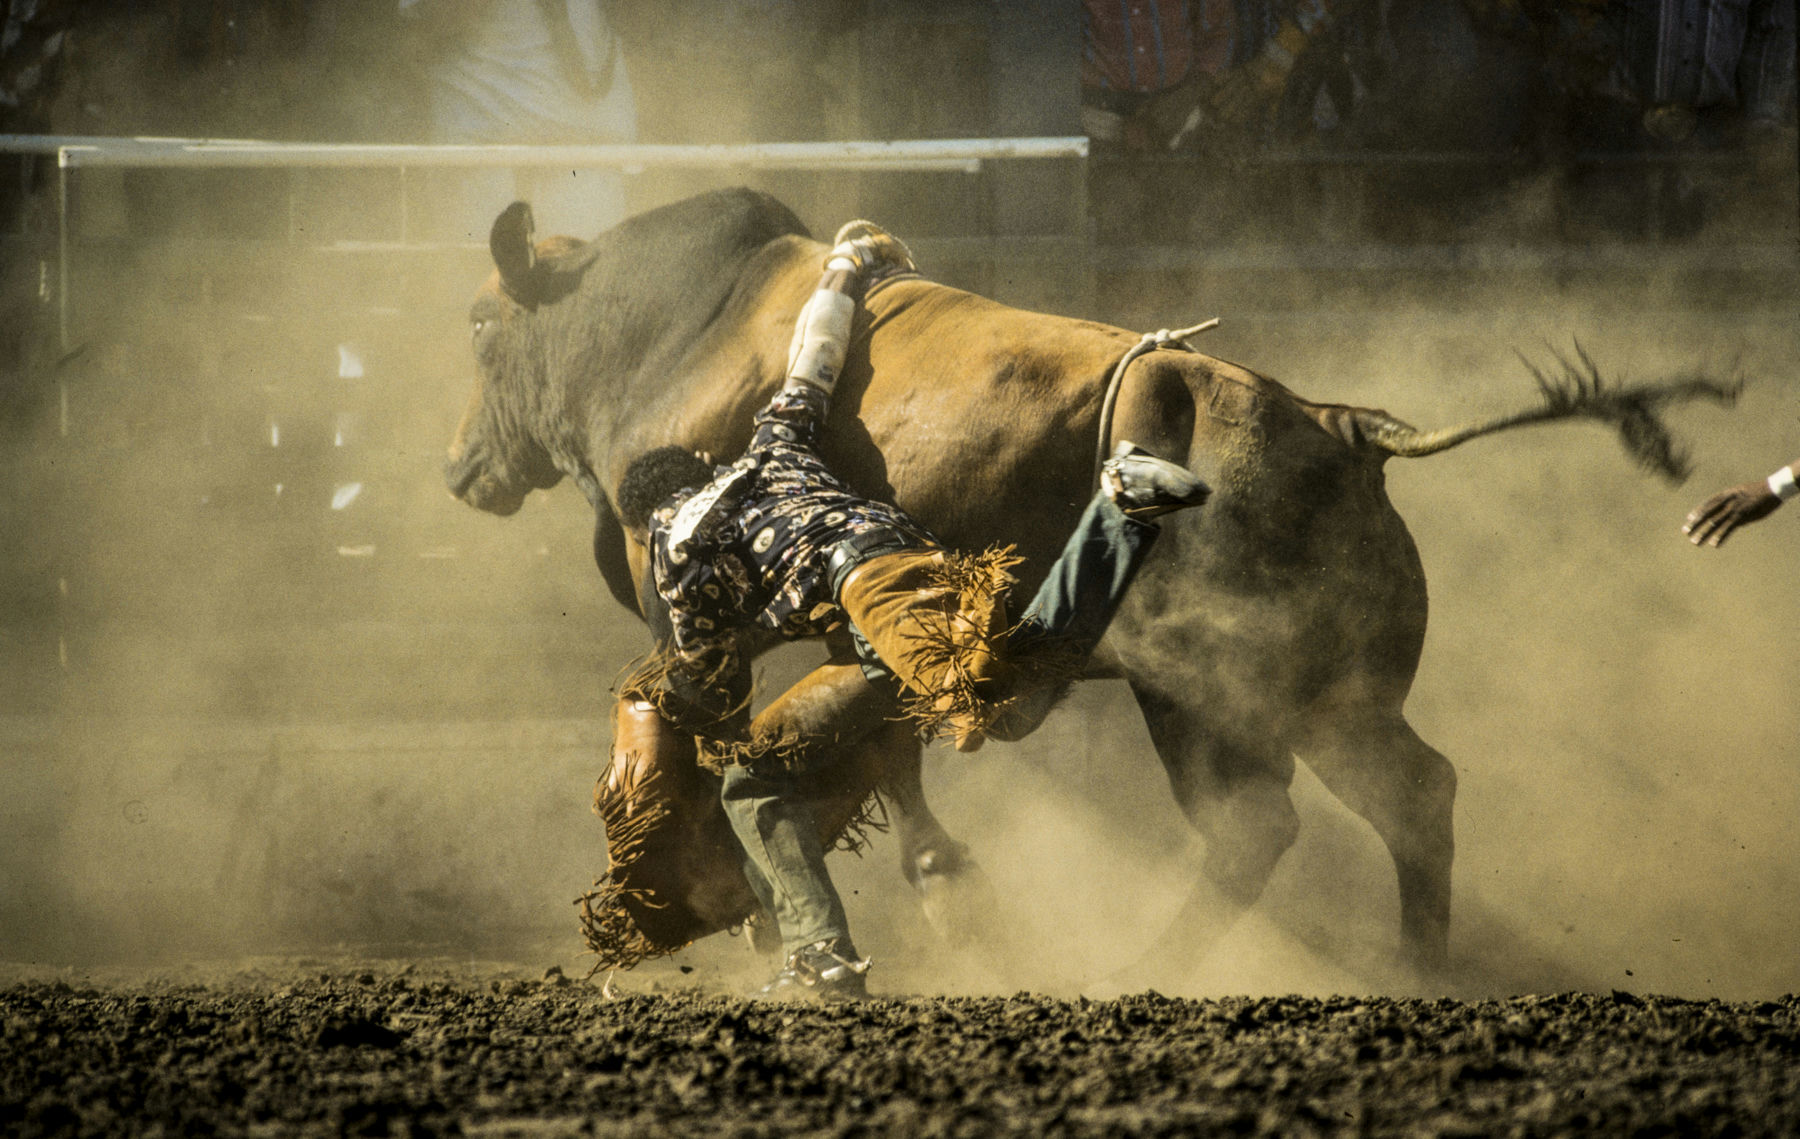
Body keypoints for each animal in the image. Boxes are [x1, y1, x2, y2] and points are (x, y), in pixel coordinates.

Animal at [442, 186, 1735, 971]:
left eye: (479, 328)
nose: (461, 466)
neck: (678, 329)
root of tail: (1340, 427)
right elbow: (883, 745)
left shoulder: (698, 610)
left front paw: (902, 894)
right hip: (1284, 696)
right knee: (1349, 806)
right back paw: (1396, 966)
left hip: (1234, 688)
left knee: (1324, 809)